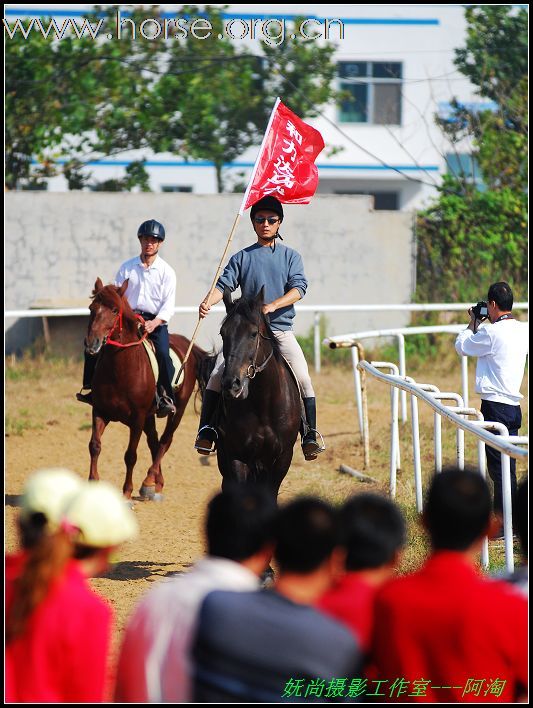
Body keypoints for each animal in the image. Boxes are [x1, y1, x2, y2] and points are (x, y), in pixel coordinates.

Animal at [84, 276, 209, 498]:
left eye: (115, 310)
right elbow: (95, 446)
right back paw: (156, 482)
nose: (92, 344)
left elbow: (130, 455)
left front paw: (126, 492)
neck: (120, 370)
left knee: (165, 441)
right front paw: (93, 483)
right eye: (91, 308)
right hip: (150, 416)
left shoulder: (137, 418)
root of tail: (188, 344)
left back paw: (149, 480)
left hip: (177, 411)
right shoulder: (99, 411)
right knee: (154, 441)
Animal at [213, 284, 304, 500]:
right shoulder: (236, 456)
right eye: (223, 333)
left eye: (253, 333)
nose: (231, 383)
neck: (264, 403)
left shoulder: (282, 459)